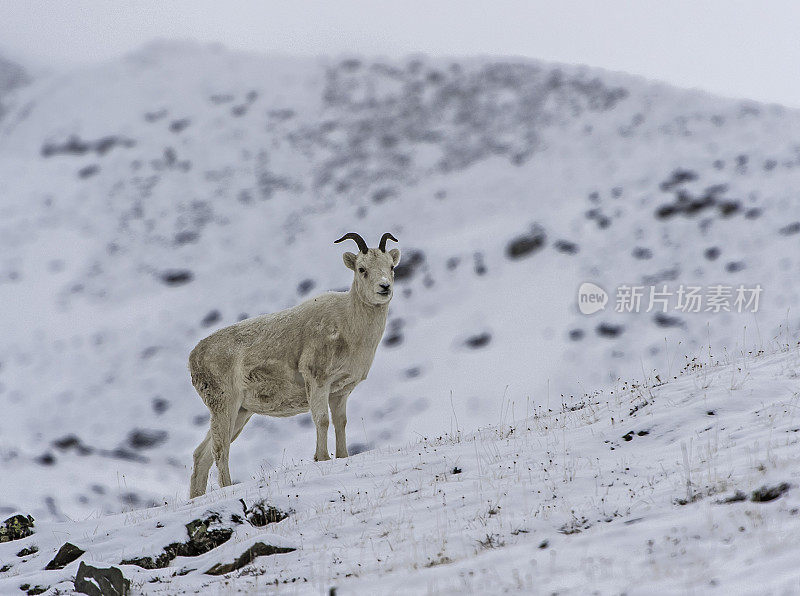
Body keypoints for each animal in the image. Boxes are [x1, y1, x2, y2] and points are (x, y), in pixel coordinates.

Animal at [188, 230, 400, 496]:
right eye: (362, 269)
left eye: (391, 266)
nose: (384, 287)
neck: (349, 327)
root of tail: (194, 357)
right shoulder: (317, 381)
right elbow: (322, 420)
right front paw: (322, 458)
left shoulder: (340, 391)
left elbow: (340, 423)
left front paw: (342, 457)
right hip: (225, 406)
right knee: (220, 449)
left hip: (241, 412)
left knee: (202, 455)